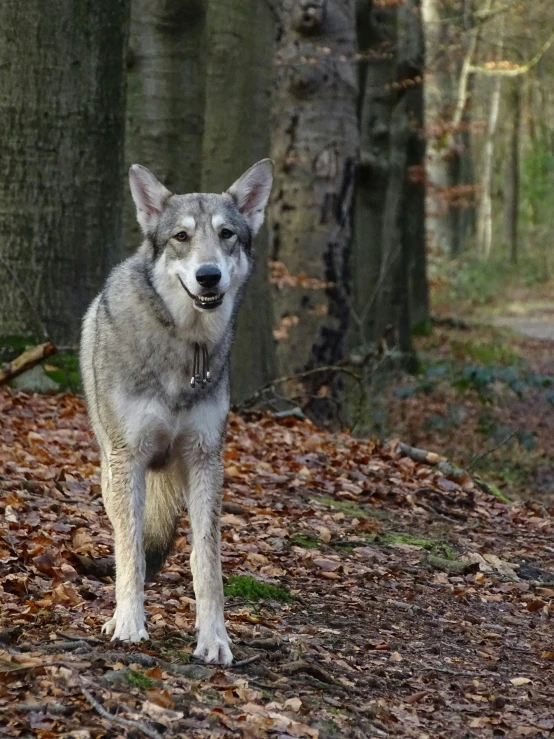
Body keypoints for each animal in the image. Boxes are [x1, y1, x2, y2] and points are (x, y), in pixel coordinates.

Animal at [78, 160, 272, 664]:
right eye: (181, 237)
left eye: (226, 234)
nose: (208, 276)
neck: (187, 345)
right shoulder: (128, 459)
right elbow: (129, 550)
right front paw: (129, 624)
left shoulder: (206, 459)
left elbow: (207, 561)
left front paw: (215, 639)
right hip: (113, 472)